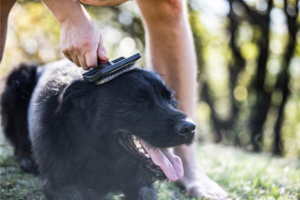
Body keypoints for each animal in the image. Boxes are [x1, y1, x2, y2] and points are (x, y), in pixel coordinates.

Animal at [0, 59, 196, 200]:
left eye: (169, 98)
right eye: (139, 100)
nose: (190, 128)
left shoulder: (143, 184)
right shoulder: (58, 183)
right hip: (18, 79)